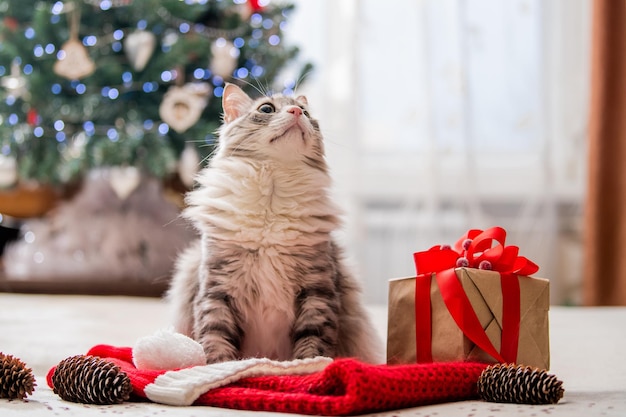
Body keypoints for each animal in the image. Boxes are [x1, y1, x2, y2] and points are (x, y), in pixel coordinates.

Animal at [166, 83, 380, 362]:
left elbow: (313, 341)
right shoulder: (217, 288)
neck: (272, 193)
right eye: (266, 109)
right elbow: (215, 338)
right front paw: (218, 367)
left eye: (305, 112)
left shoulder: (317, 290)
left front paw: (307, 367)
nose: (296, 112)